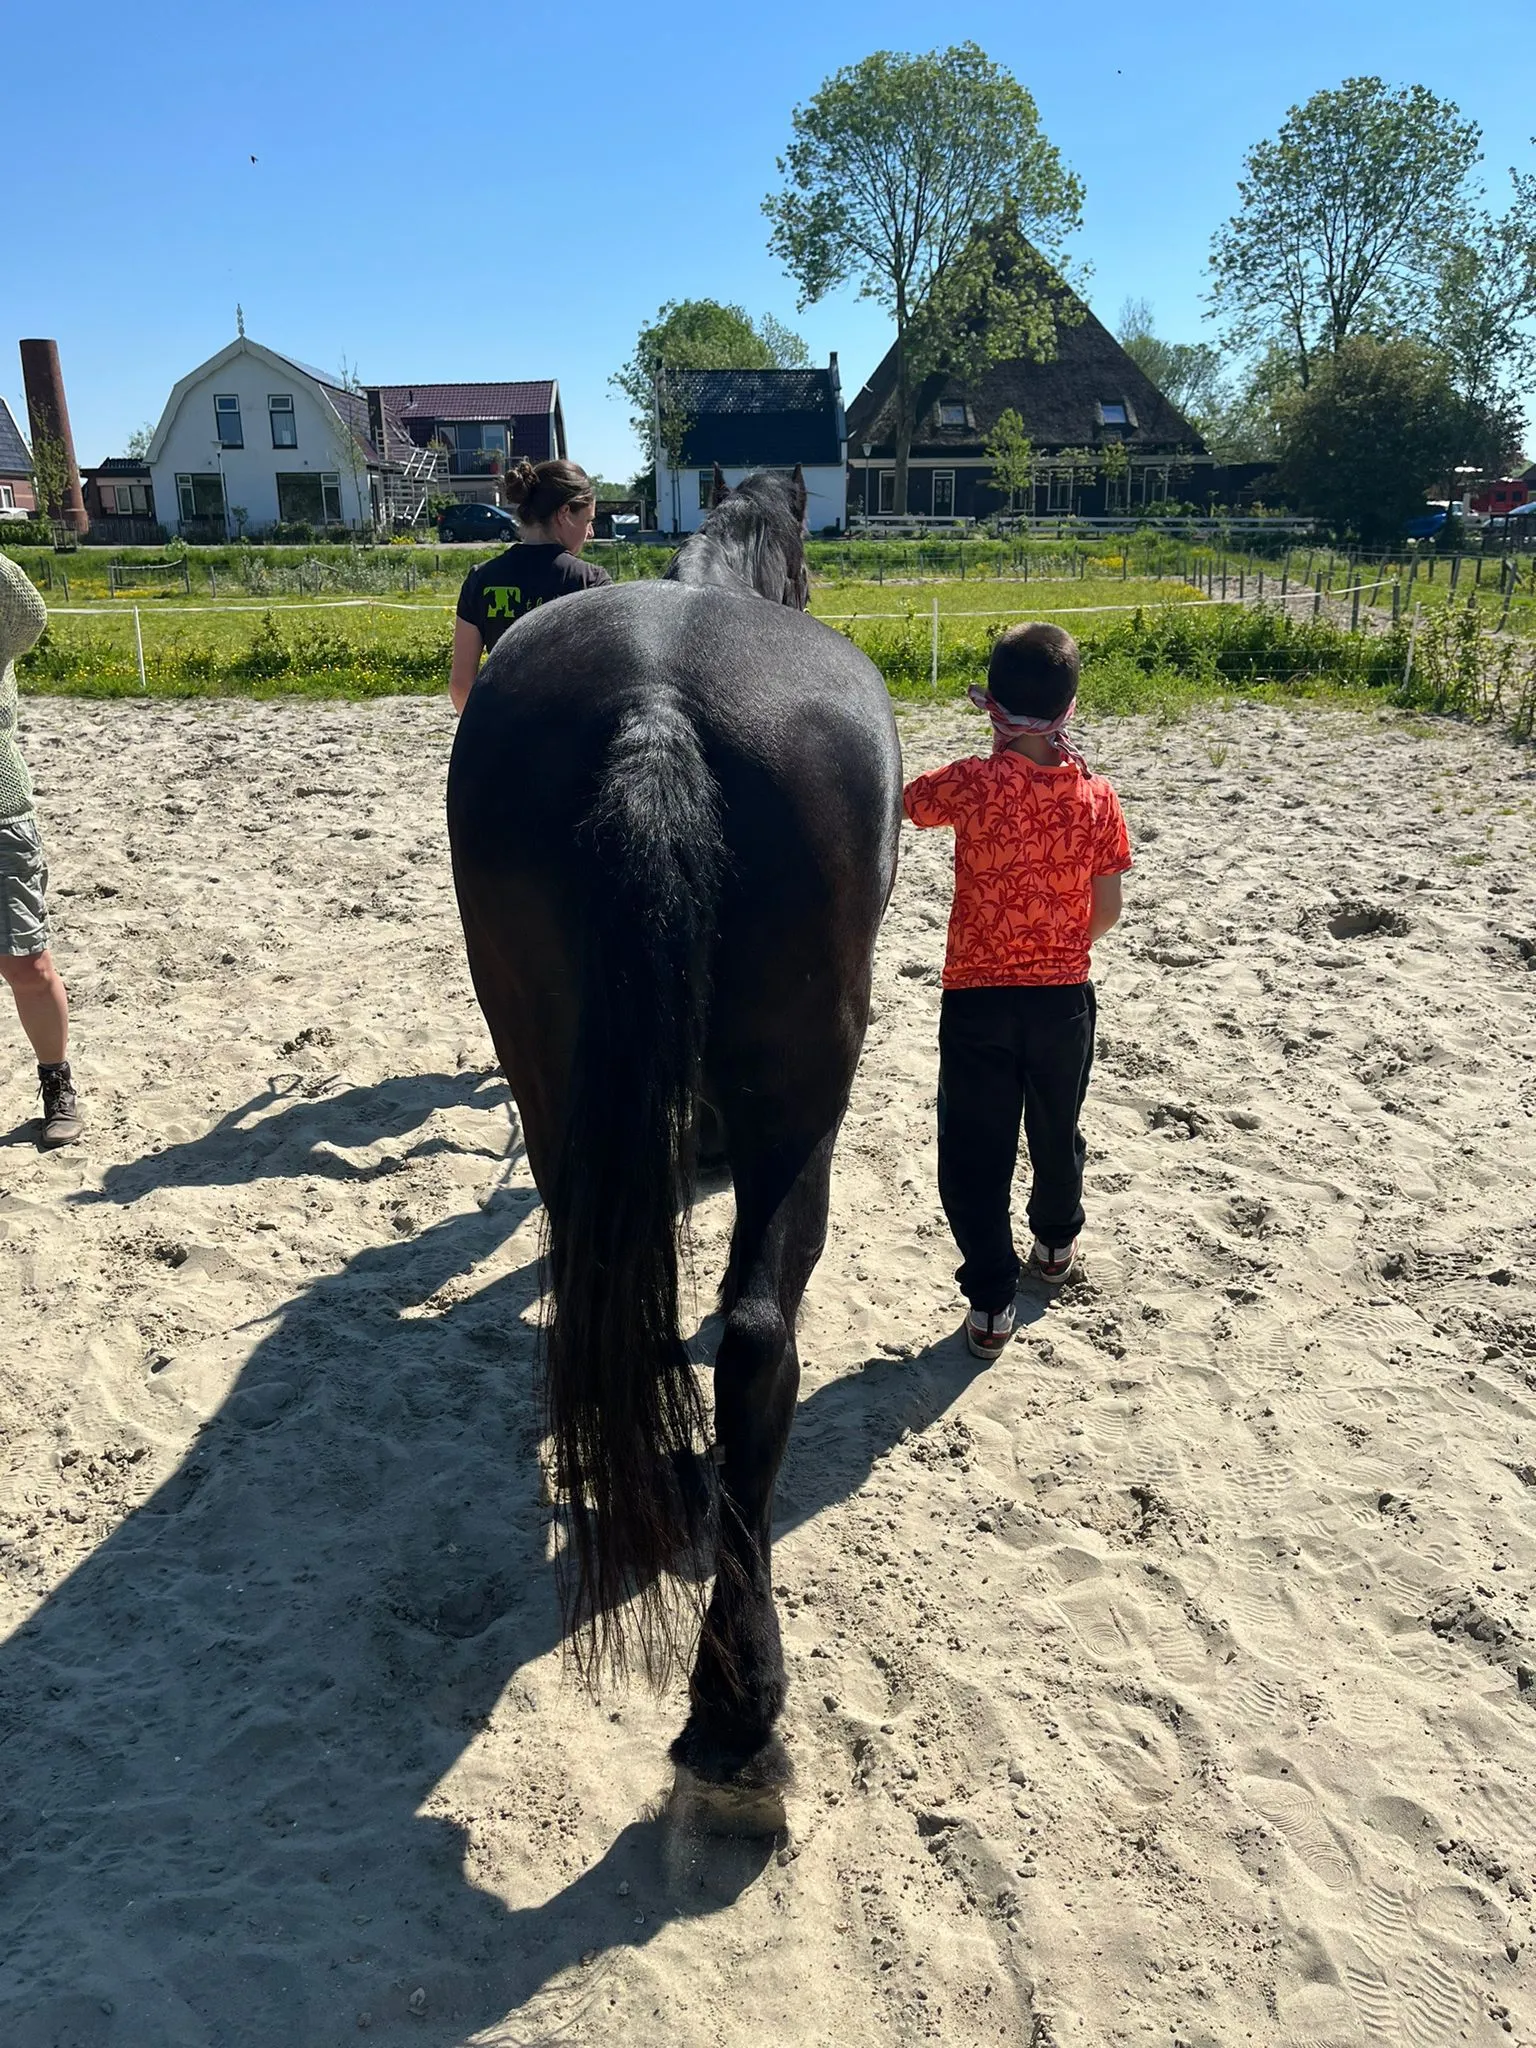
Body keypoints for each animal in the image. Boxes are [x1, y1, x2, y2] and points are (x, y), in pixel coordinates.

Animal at [446, 467, 901, 1828]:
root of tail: (655, 705)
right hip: (807, 1105)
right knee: (756, 1338)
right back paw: (738, 1716)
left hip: (545, 1072)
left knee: (609, 1279)